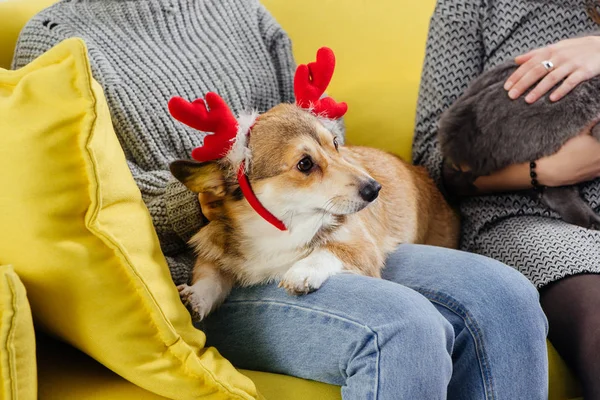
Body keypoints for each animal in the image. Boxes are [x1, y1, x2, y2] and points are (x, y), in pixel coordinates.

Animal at [166, 47, 458, 322]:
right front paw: (194, 297)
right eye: (305, 164)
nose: (375, 189)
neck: (282, 228)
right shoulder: (216, 254)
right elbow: (210, 277)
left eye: (336, 144)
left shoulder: (362, 248)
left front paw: (301, 271)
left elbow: (327, 249)